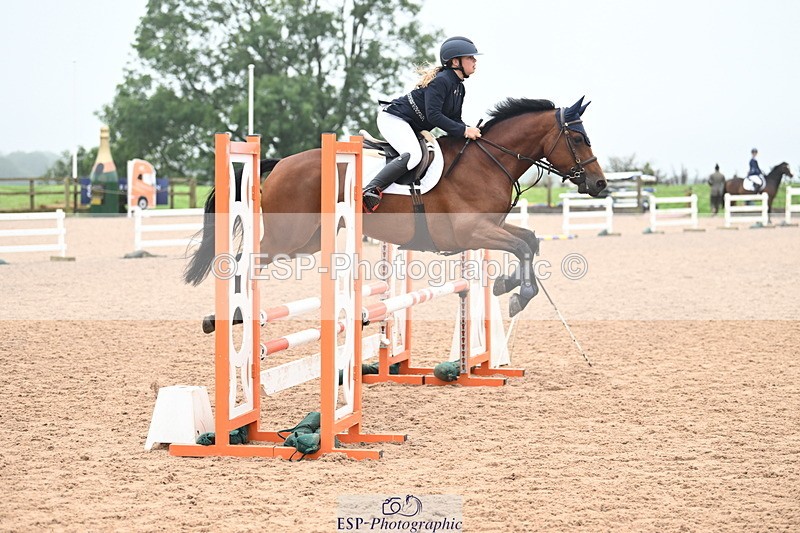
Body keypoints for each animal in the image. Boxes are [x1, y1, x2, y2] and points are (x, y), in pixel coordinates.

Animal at [185, 97, 607, 317]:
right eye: (579, 138)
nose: (600, 185)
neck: (488, 160)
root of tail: (282, 163)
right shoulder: (472, 231)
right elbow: (521, 245)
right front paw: (519, 294)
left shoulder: (491, 227)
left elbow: (530, 241)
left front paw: (507, 285)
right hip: (286, 237)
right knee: (244, 263)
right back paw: (235, 314)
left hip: (306, 241)